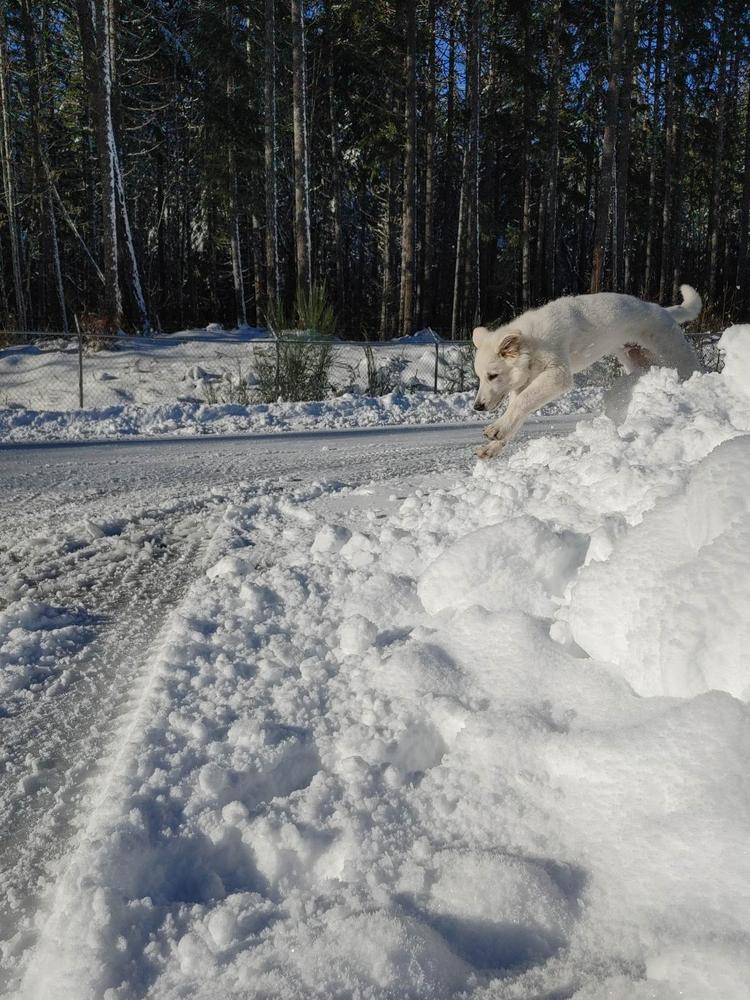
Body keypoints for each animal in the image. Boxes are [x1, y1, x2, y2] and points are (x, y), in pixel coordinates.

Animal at [472, 284, 704, 458]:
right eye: (480, 378)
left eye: (492, 376)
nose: (477, 407)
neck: (532, 343)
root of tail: (663, 310)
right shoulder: (529, 384)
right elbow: (518, 410)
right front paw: (494, 445)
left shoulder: (558, 376)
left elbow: (521, 402)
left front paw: (496, 429)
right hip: (640, 360)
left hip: (678, 358)